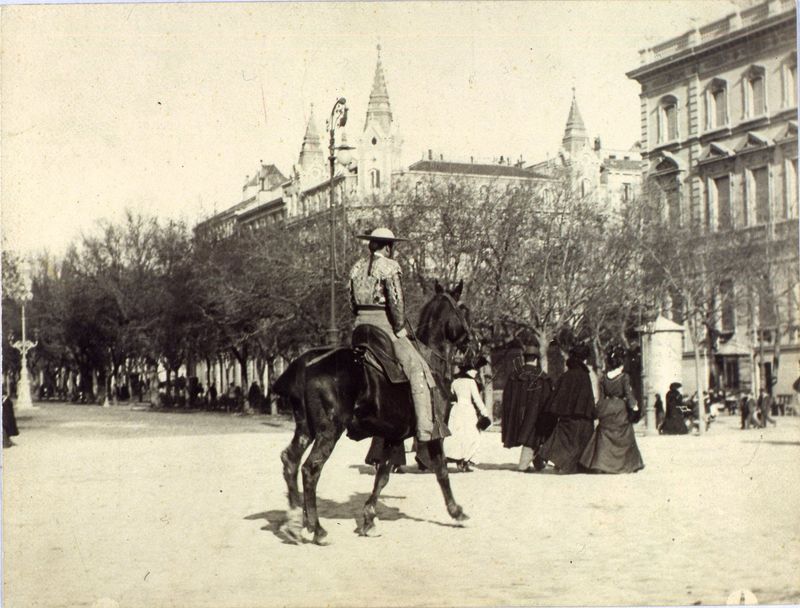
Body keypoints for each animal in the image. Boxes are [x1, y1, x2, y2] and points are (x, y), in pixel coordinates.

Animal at [274, 282, 472, 544]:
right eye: (464, 310)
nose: (473, 342)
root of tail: (305, 364)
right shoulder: (434, 431)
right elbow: (441, 470)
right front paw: (457, 511)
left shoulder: (393, 436)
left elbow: (383, 476)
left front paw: (369, 519)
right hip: (329, 431)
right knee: (311, 468)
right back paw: (317, 529)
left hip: (306, 428)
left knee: (290, 461)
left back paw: (296, 521)